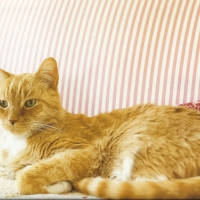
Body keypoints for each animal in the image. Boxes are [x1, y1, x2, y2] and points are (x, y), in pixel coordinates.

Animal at [0, 57, 200, 198]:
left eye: (30, 103)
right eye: (3, 103)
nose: (11, 120)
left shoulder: (85, 153)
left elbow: (26, 177)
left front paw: (60, 184)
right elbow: (17, 170)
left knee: (151, 187)